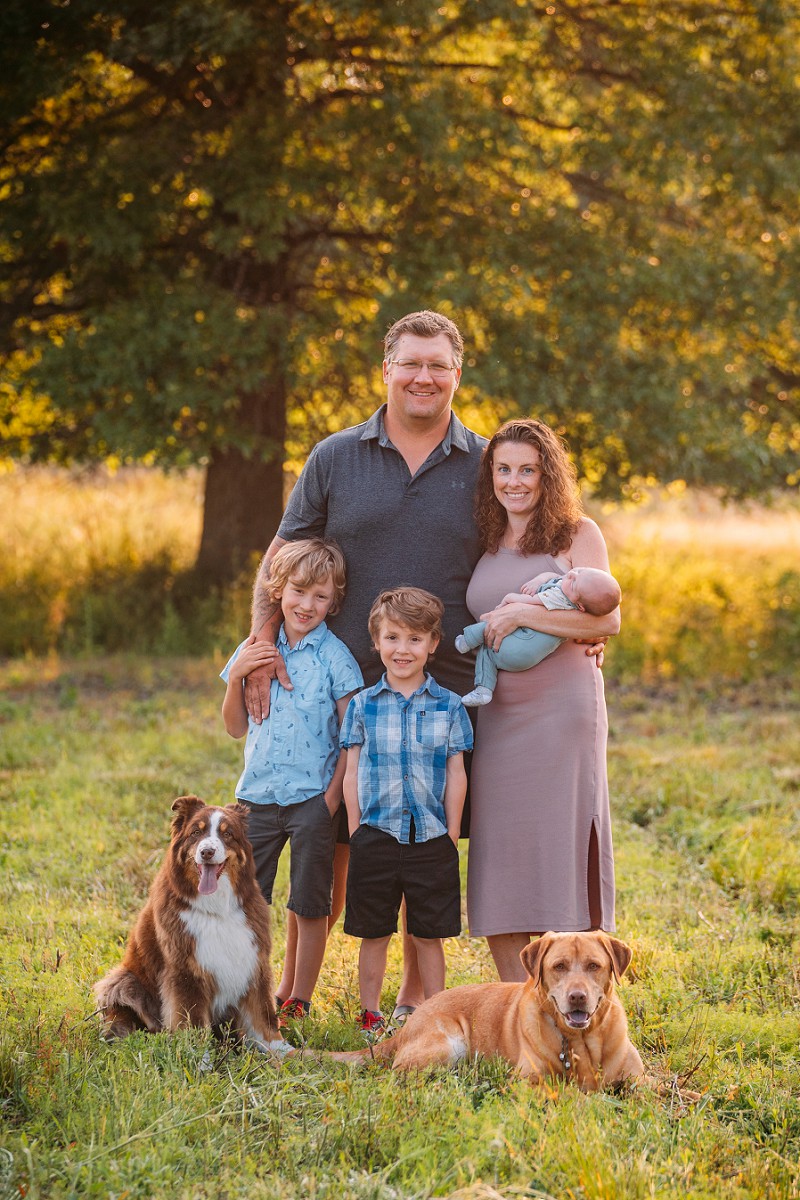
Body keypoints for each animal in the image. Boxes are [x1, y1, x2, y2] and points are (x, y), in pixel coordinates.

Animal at [94, 801, 287, 1056]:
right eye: (196, 832)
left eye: (227, 834)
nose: (207, 852)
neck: (217, 910)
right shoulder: (186, 972)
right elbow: (193, 1024)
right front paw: (199, 1059)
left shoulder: (253, 961)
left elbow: (264, 1016)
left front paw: (288, 1052)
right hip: (123, 982)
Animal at [328, 931, 647, 1094]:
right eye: (559, 966)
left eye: (594, 965)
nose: (577, 997)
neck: (582, 1040)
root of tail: (410, 1021)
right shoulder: (527, 1081)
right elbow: (565, 1091)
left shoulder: (639, 1079)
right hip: (446, 1046)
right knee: (400, 1075)